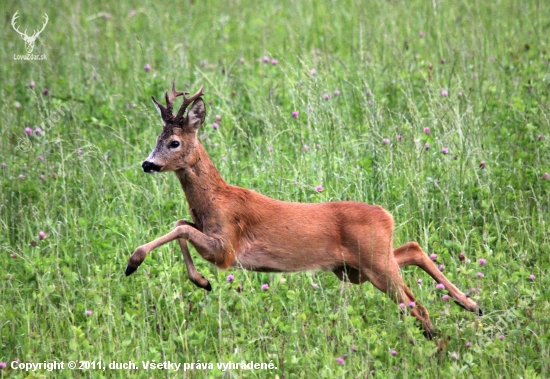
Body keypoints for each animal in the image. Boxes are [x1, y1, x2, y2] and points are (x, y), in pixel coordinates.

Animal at [126, 82, 484, 338]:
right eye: (157, 138)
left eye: (174, 142)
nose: (147, 164)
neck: (216, 199)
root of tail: (386, 215)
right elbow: (180, 222)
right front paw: (201, 281)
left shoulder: (227, 247)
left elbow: (181, 228)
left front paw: (134, 262)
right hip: (358, 268)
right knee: (411, 250)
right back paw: (470, 304)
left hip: (374, 262)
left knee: (417, 304)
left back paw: (438, 336)